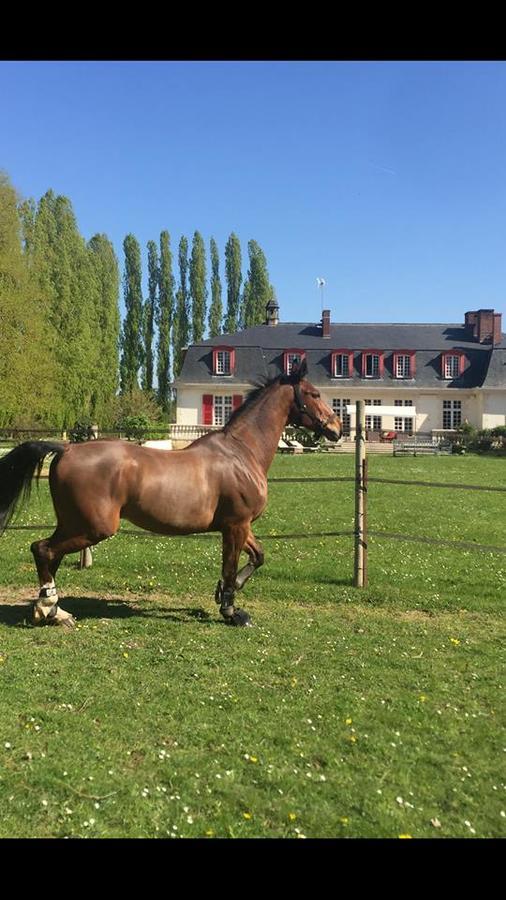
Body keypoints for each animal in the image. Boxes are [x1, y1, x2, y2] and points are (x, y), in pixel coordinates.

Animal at [0, 362, 340, 628]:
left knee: (48, 553)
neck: (242, 452)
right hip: (92, 527)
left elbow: (257, 557)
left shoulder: (238, 526)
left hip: (72, 523)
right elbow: (231, 567)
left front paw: (223, 593)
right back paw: (50, 610)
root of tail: (67, 448)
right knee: (43, 550)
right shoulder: (236, 525)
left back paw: (51, 610)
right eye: (314, 394)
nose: (336, 428)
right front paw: (232, 611)